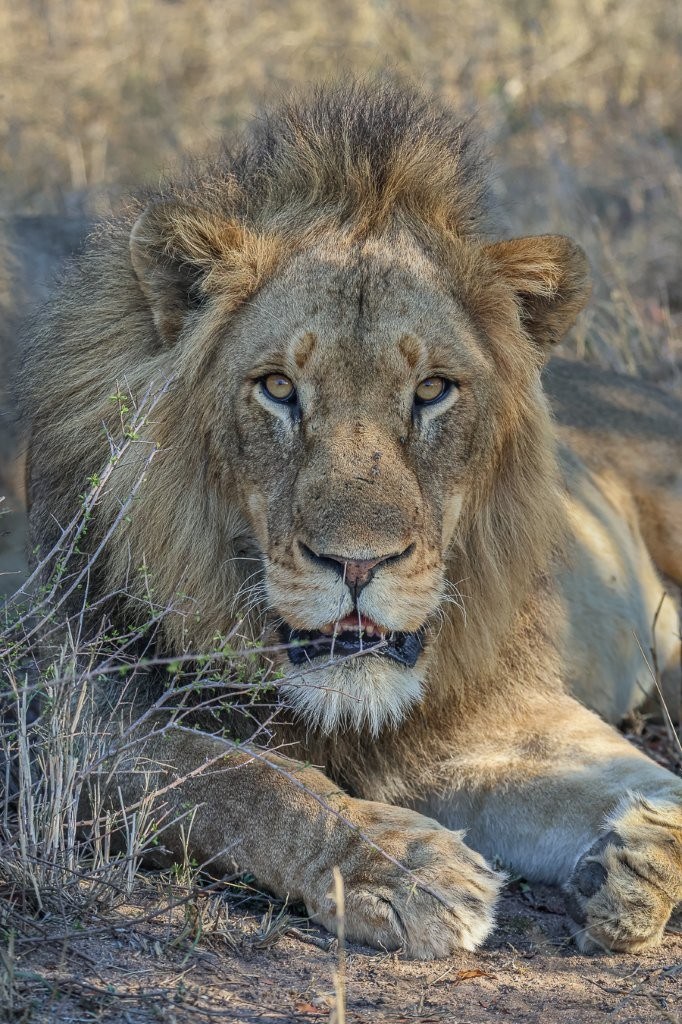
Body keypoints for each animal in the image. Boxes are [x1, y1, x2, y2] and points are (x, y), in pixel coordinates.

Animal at [19, 82, 682, 959]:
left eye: (433, 390)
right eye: (277, 388)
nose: (359, 564)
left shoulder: (500, 720)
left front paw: (637, 856)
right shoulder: (60, 717)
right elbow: (241, 778)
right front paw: (400, 867)